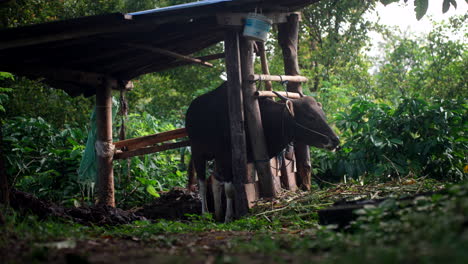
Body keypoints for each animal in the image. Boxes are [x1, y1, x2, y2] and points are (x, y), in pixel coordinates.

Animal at [185, 81, 338, 222]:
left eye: (323, 115)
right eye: (310, 117)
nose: (335, 140)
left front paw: (225, 215)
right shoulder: (226, 157)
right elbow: (229, 190)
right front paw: (228, 217)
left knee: (215, 181)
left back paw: (217, 214)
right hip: (198, 152)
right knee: (202, 183)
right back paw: (205, 214)